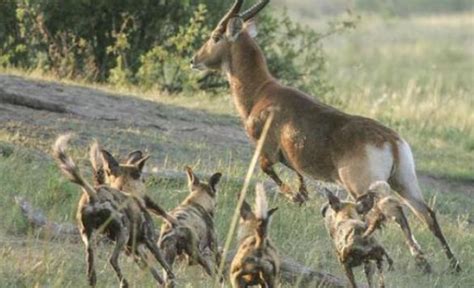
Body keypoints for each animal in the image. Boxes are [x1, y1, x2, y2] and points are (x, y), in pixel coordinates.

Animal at [52, 136, 174, 288]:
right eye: (144, 180)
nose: (150, 201)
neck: (127, 189)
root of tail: (94, 195)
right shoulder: (149, 240)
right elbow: (166, 266)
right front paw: (171, 280)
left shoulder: (133, 248)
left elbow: (152, 270)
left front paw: (163, 282)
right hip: (123, 233)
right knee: (112, 259)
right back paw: (124, 283)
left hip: (88, 237)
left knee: (90, 266)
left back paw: (94, 281)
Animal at [191, 0, 462, 272]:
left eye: (215, 36)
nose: (194, 59)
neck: (262, 92)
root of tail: (390, 140)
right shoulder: (292, 157)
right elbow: (298, 173)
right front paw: (302, 194)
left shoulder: (266, 150)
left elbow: (268, 169)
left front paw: (297, 197)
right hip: (403, 181)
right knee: (426, 213)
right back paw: (446, 264)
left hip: (364, 185)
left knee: (392, 211)